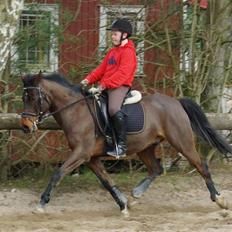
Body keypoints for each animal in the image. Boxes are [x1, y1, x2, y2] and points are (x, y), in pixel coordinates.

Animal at [20, 72, 231, 214]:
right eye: (24, 98)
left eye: (33, 98)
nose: (25, 126)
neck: (77, 111)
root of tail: (176, 102)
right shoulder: (90, 158)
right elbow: (106, 181)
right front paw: (123, 204)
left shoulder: (81, 154)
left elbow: (58, 174)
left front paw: (41, 203)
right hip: (145, 147)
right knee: (156, 169)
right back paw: (135, 194)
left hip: (182, 142)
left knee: (201, 165)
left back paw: (219, 199)